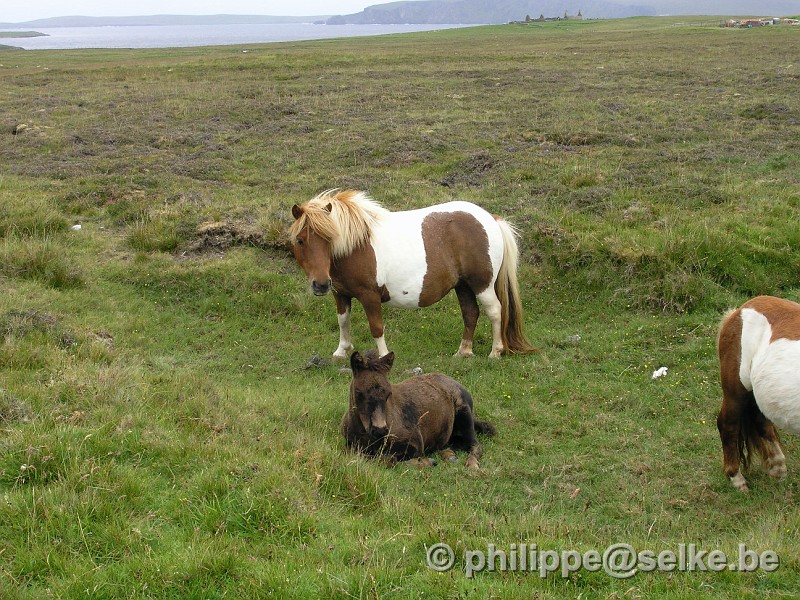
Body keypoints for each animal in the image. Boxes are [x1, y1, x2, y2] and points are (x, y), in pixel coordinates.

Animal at [290, 189, 536, 356]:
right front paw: (341, 352)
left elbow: (376, 328)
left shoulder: (370, 296)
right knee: (470, 313)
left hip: (482, 284)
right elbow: (343, 321)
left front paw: (383, 356)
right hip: (463, 285)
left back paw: (495, 352)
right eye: (300, 240)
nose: (320, 284)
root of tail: (491, 218)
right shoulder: (340, 293)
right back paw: (463, 352)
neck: (356, 245)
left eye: (329, 238)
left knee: (495, 311)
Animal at [712, 296, 800, 492]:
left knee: (761, 422)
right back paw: (737, 479)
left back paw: (777, 468)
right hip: (736, 391)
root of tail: (740, 310)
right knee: (728, 425)